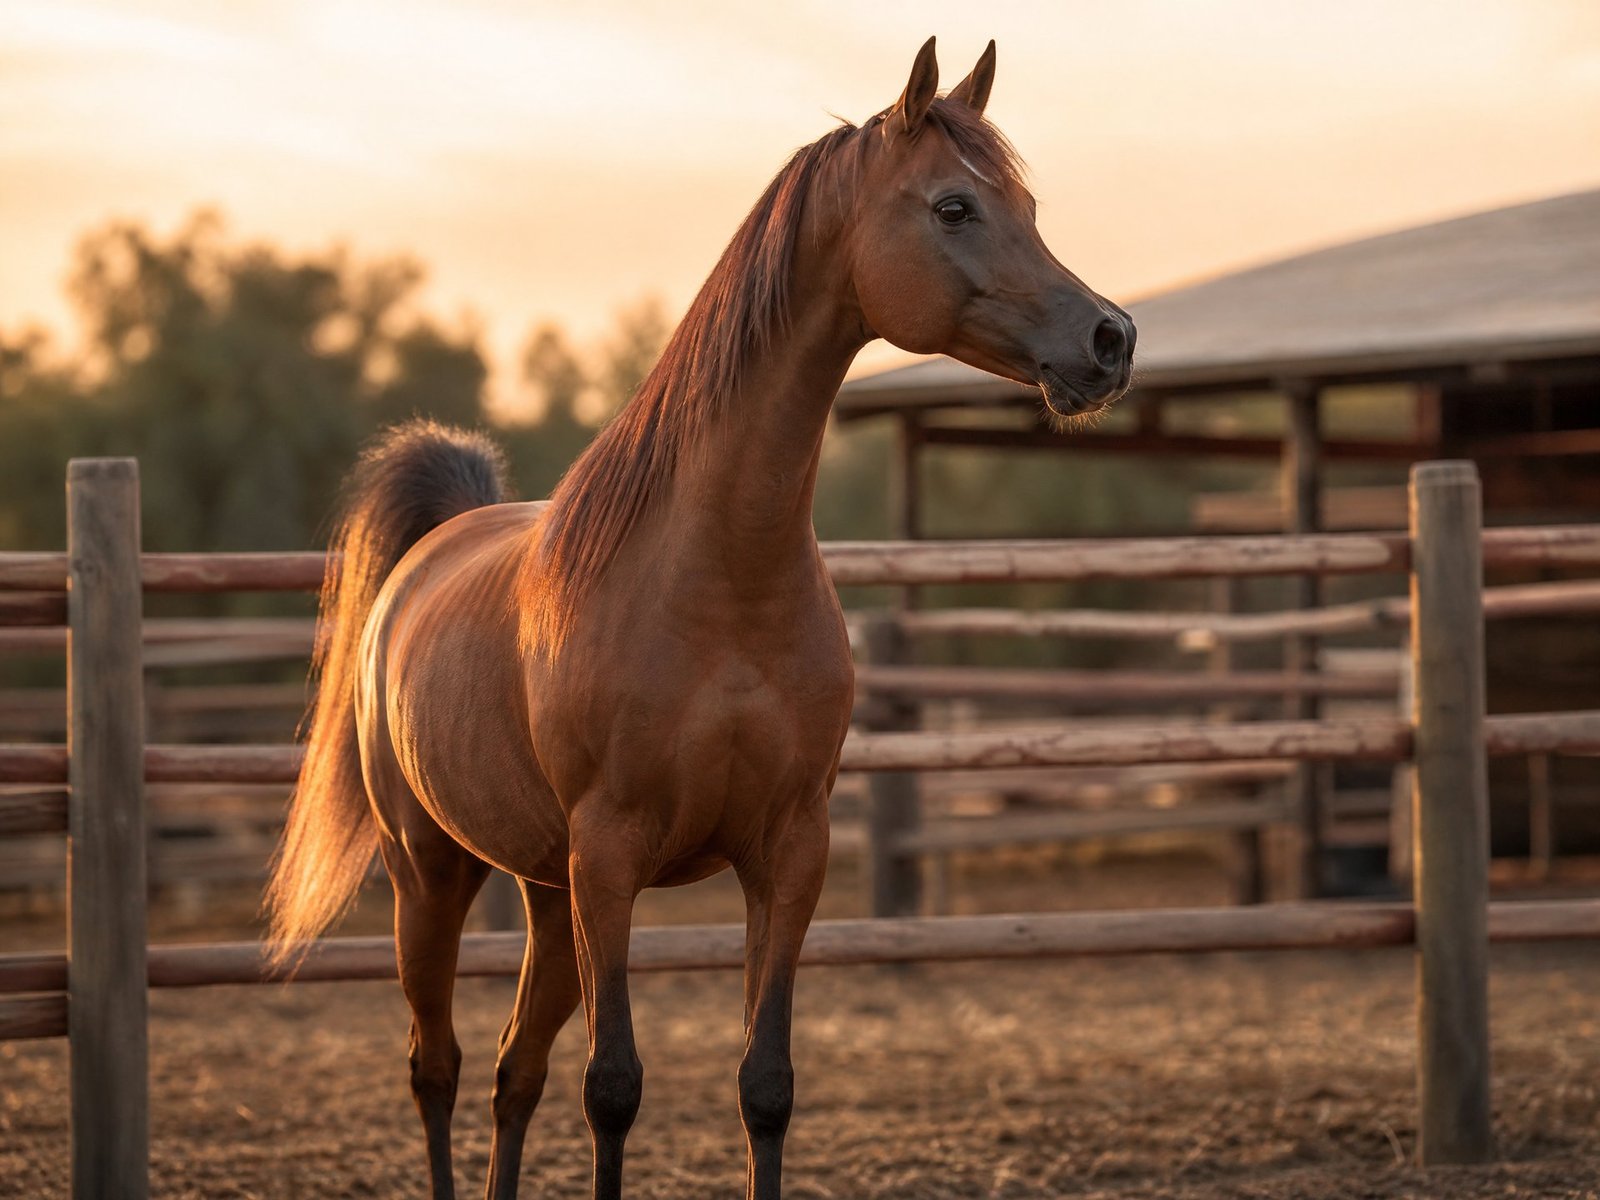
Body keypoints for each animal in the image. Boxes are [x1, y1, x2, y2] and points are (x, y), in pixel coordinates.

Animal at [265, 35, 1134, 1200]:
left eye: (1028, 205)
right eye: (954, 207)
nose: (1111, 337)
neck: (720, 584)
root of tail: (428, 552)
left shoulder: (788, 851)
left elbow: (764, 1084)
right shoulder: (614, 858)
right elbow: (615, 1090)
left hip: (546, 892)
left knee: (511, 1072)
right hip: (432, 876)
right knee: (436, 1069)